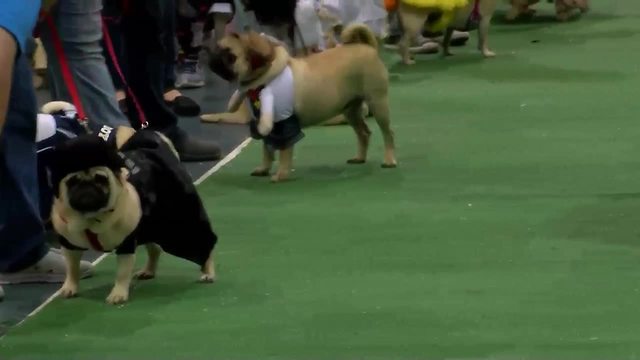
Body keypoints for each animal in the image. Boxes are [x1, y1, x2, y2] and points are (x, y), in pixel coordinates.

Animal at [49, 129, 218, 304]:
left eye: (101, 179)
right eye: (72, 182)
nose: (87, 188)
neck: (91, 217)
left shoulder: (126, 243)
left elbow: (122, 273)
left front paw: (118, 293)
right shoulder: (70, 244)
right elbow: (72, 268)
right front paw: (69, 287)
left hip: (183, 224)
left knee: (203, 244)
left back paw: (208, 272)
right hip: (150, 225)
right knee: (154, 249)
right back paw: (148, 270)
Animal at [204, 23, 396, 181]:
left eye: (229, 55)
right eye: (217, 48)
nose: (211, 56)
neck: (265, 78)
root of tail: (367, 47)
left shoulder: (284, 124)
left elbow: (284, 151)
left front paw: (281, 174)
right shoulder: (266, 124)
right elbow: (267, 150)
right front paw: (264, 169)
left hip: (377, 103)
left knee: (388, 133)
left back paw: (389, 160)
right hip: (351, 111)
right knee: (364, 133)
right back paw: (360, 158)